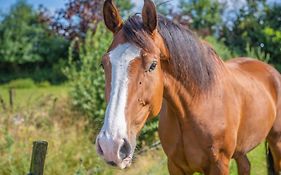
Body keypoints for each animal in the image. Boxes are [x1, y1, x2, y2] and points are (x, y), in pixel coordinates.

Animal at [94, 0, 280, 174]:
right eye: (103, 64)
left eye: (153, 65)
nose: (111, 145)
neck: (199, 103)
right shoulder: (175, 166)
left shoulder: (219, 165)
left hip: (276, 141)